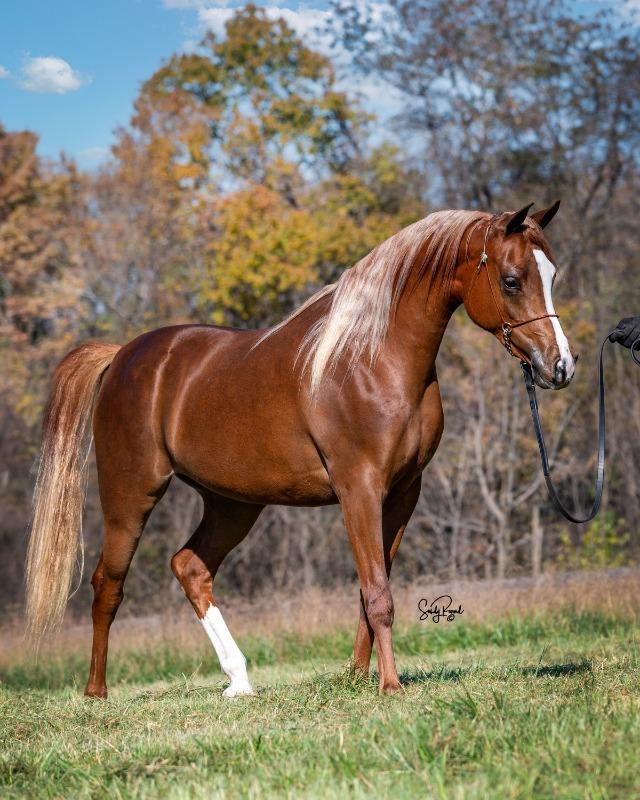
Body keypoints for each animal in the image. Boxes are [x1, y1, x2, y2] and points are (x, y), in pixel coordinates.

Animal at [25, 201, 575, 698]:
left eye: (551, 275)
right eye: (511, 280)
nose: (561, 366)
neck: (373, 357)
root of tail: (122, 354)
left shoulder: (402, 494)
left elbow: (369, 590)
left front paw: (358, 677)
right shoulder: (358, 489)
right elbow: (379, 595)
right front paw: (390, 686)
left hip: (232, 504)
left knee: (191, 568)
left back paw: (240, 681)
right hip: (130, 496)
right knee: (108, 584)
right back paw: (97, 692)